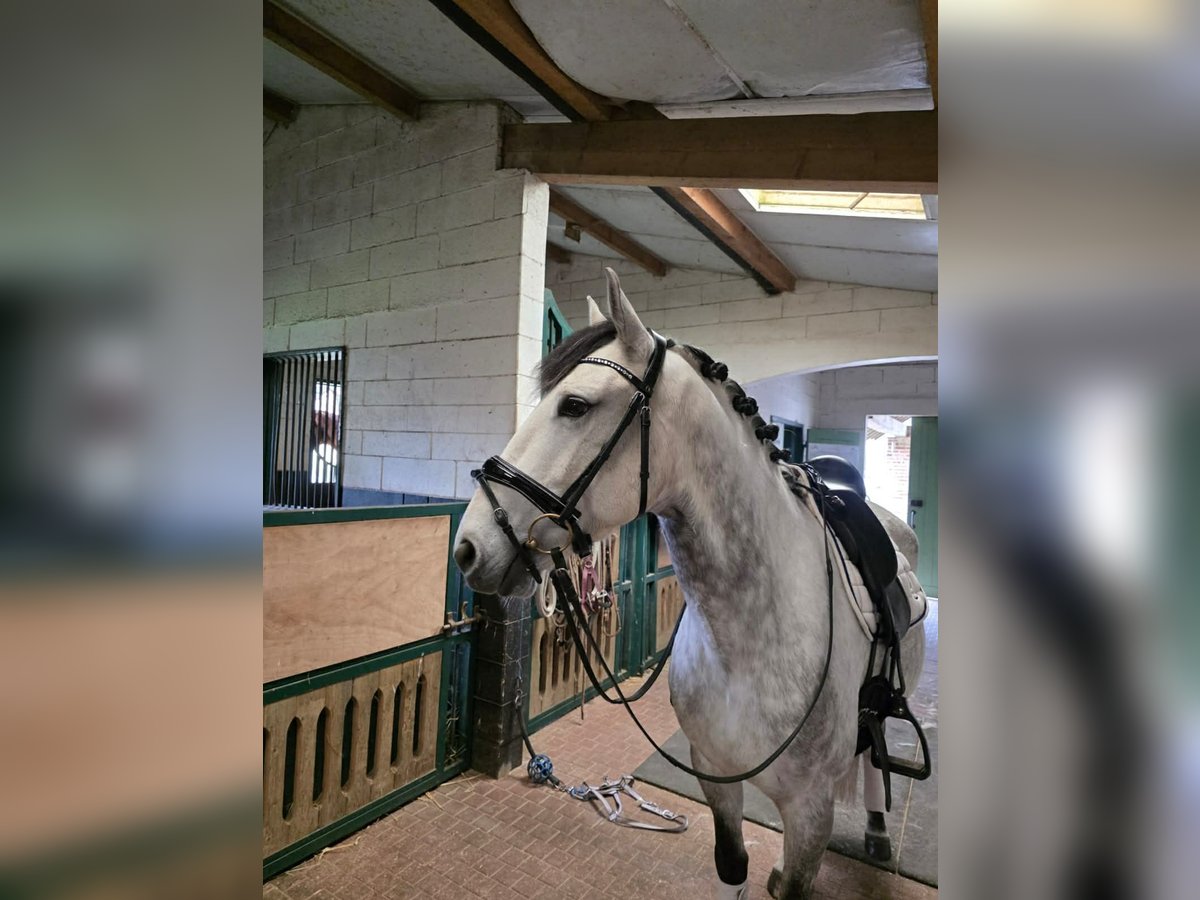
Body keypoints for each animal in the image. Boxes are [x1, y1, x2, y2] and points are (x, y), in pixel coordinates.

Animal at [454, 268, 926, 899]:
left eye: (575, 405)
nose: (469, 546)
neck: (753, 639)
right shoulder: (716, 779)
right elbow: (733, 865)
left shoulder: (811, 810)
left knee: (875, 760)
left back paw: (876, 828)